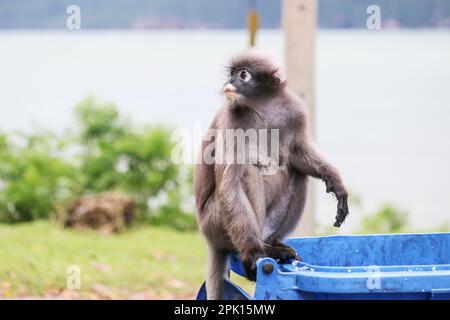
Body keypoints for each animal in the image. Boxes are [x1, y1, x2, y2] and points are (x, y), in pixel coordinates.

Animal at [194, 51, 348, 298]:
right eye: (233, 74)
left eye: (243, 75)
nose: (231, 81)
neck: (262, 107)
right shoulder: (231, 120)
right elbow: (230, 184)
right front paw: (253, 255)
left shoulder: (294, 111)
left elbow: (298, 155)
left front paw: (335, 181)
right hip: (216, 221)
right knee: (247, 170)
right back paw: (261, 250)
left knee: (296, 172)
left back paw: (271, 244)